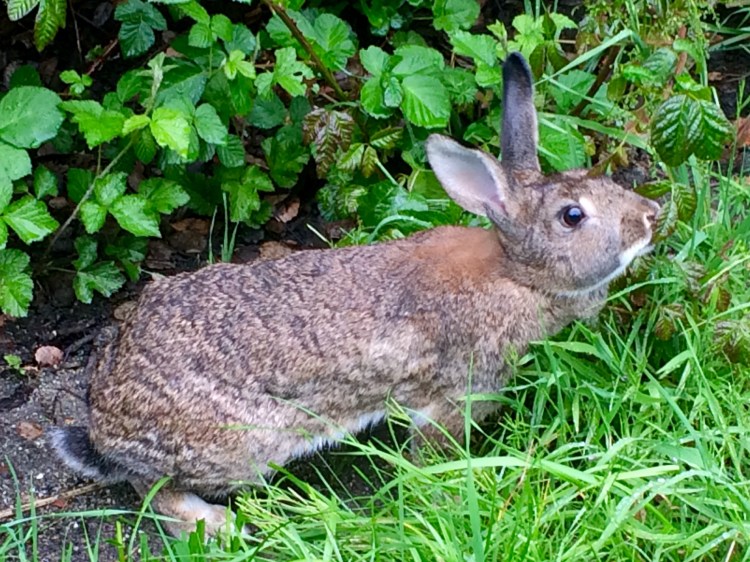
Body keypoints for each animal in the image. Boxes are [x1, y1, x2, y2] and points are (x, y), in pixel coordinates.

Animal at [50, 52, 661, 537]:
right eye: (573, 216)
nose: (650, 216)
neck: (517, 274)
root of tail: (106, 429)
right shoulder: (456, 394)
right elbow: (432, 448)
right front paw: (438, 492)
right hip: (240, 445)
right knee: (152, 490)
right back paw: (219, 526)